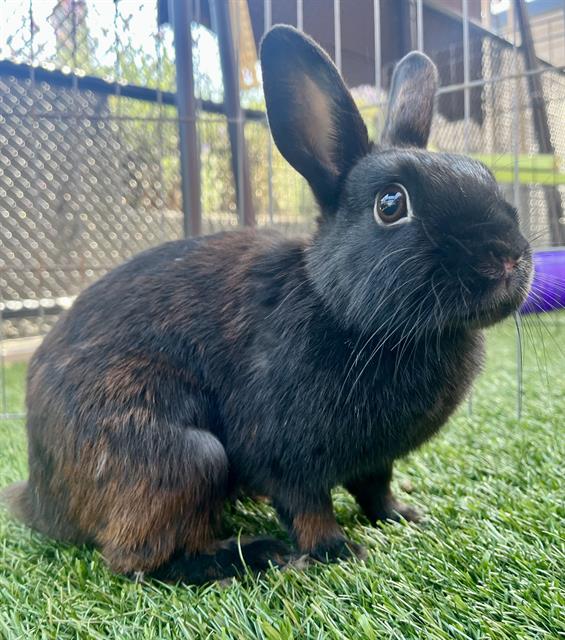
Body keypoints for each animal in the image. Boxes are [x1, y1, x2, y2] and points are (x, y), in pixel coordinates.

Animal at [2, 26, 532, 584]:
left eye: (485, 175)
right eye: (391, 205)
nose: (507, 257)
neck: (339, 308)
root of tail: (40, 498)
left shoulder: (375, 458)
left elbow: (376, 489)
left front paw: (405, 518)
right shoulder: (284, 452)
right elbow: (308, 506)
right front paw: (338, 552)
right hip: (184, 458)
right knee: (138, 560)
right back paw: (250, 555)